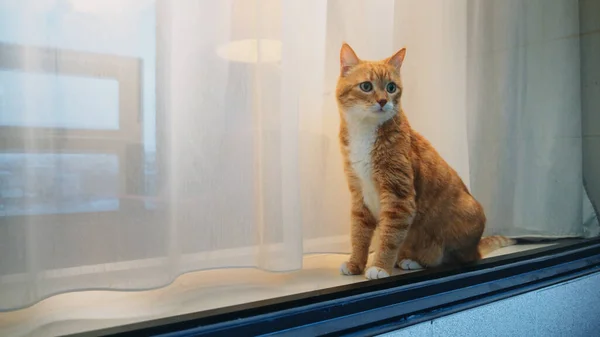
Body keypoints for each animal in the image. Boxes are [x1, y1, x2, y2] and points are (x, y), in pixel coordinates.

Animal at [336, 42, 512, 278]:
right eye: (366, 86)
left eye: (391, 87)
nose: (383, 101)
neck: (365, 132)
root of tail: (475, 247)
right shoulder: (358, 194)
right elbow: (359, 234)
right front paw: (356, 263)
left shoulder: (399, 198)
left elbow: (389, 238)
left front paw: (380, 266)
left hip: (466, 216)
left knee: (454, 258)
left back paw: (415, 261)